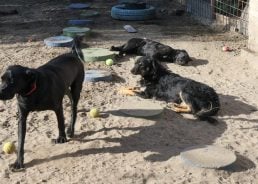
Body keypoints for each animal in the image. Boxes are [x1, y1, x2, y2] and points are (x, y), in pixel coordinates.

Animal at [0, 38, 84, 170]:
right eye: (1, 79)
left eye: (12, 81)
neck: (31, 90)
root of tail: (72, 54)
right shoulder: (22, 117)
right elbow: (20, 140)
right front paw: (18, 162)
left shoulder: (57, 107)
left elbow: (60, 123)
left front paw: (61, 138)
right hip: (66, 88)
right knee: (70, 101)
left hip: (76, 88)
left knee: (74, 109)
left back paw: (70, 130)